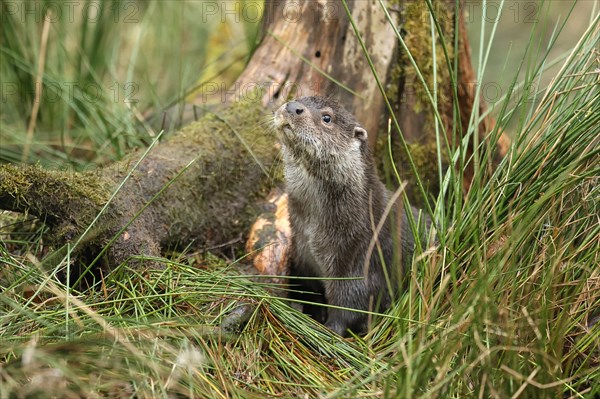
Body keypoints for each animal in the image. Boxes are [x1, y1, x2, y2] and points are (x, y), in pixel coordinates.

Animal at [274, 97, 424, 338]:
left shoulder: (361, 259)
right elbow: (308, 290)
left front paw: (329, 330)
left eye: (327, 118)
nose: (292, 107)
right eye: (297, 99)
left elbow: (350, 306)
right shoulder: (302, 257)